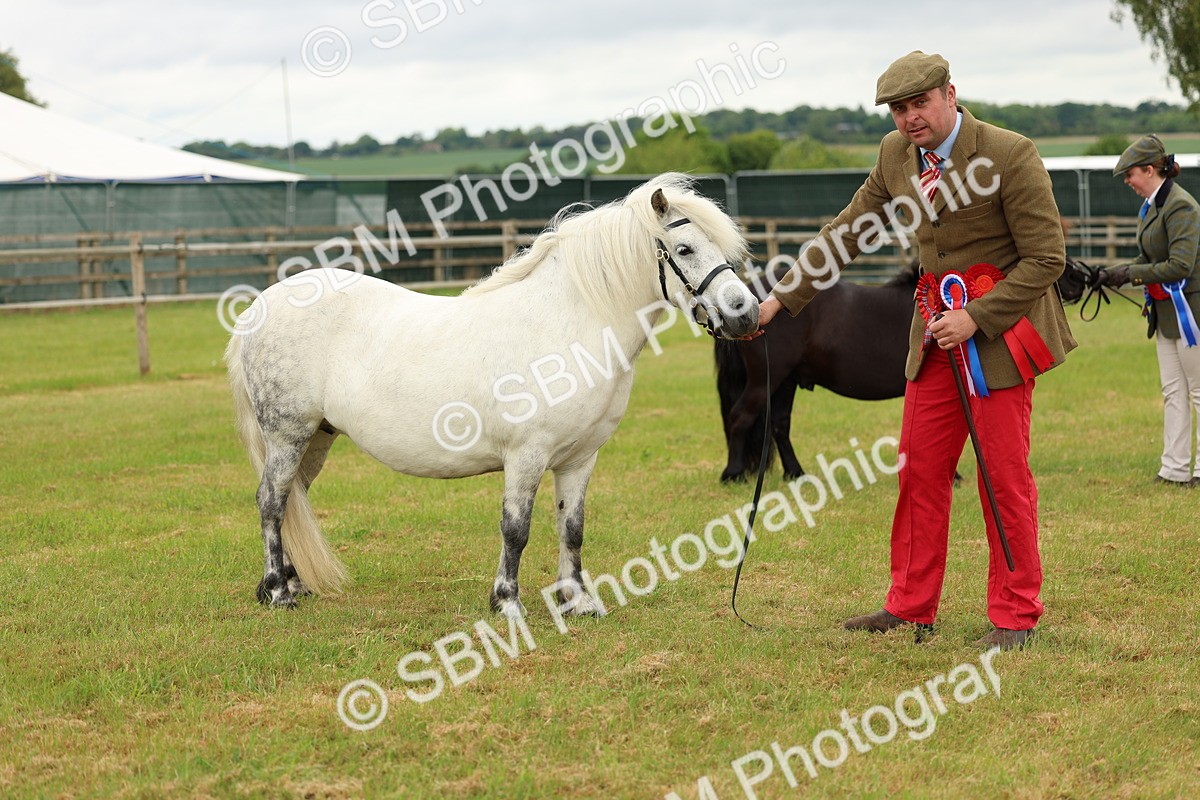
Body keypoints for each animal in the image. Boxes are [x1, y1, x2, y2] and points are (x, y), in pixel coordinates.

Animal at [225, 174, 758, 619]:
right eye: (684, 248)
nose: (745, 313)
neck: (569, 324)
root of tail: (258, 308)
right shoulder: (526, 456)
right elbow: (515, 530)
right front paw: (507, 603)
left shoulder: (580, 458)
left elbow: (572, 527)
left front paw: (578, 601)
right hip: (288, 434)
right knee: (271, 500)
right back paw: (278, 592)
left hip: (317, 437)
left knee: (293, 498)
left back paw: (293, 582)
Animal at [715, 256, 1088, 483]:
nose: (1082, 277)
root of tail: (749, 304)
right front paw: (952, 477)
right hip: (766, 381)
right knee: (740, 417)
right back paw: (733, 473)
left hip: (786, 381)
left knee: (779, 425)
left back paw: (796, 473)